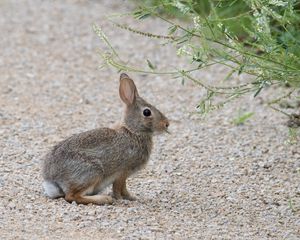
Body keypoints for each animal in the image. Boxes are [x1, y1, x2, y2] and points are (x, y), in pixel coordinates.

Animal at [41, 72, 170, 204]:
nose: (166, 124)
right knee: (72, 196)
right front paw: (122, 199)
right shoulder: (122, 172)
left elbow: (123, 189)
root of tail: (52, 180)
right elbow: (119, 188)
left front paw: (132, 198)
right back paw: (104, 199)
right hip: (92, 172)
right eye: (147, 112)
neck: (133, 131)